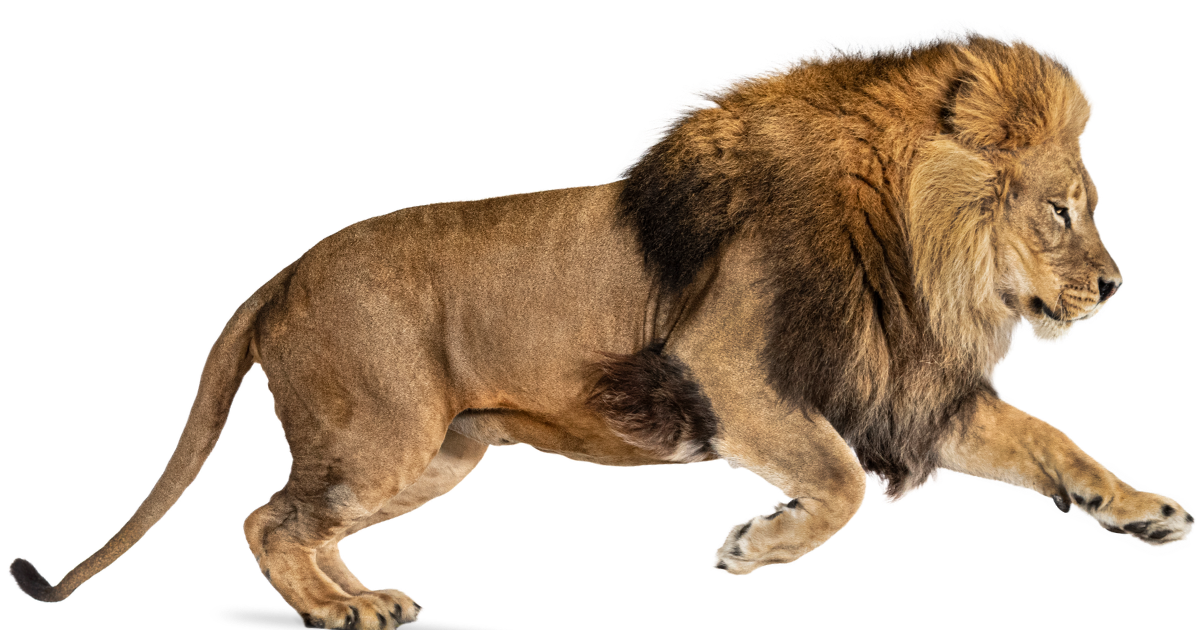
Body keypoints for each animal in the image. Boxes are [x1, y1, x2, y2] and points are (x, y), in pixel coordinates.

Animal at [9, 21, 1192, 628]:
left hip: (435, 457)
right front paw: (758, 544)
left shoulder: (913, 386)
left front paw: (1149, 516)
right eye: (1060, 210)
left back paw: (376, 595)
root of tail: (280, 275)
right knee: (265, 521)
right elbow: (831, 472)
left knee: (295, 521)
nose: (1113, 286)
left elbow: (1056, 449)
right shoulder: (731, 365)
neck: (917, 255)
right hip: (384, 436)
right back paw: (346, 610)